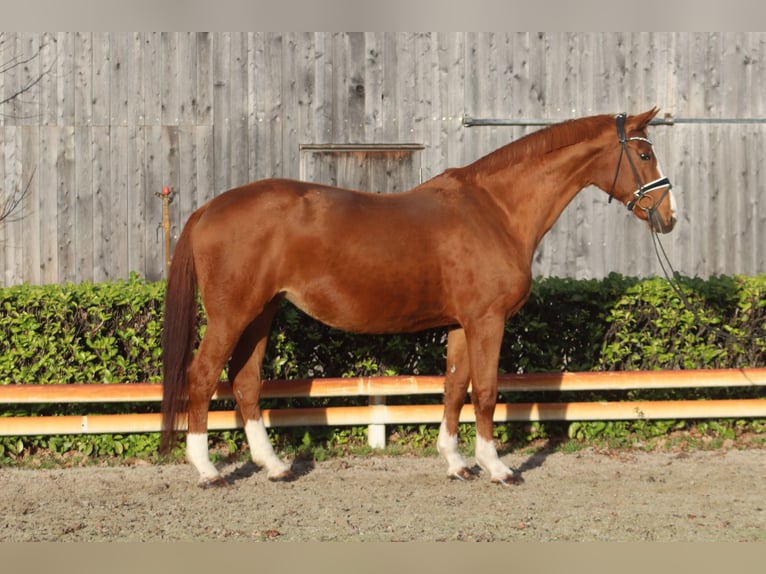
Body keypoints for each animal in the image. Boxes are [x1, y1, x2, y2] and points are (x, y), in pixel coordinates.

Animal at [160, 108, 677, 487]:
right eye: (645, 153)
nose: (669, 216)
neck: (496, 210)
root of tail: (207, 209)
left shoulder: (460, 324)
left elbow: (454, 388)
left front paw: (457, 463)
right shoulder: (487, 320)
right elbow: (485, 392)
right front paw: (497, 467)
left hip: (261, 313)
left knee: (246, 382)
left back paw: (274, 466)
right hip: (232, 314)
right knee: (202, 377)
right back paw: (208, 471)